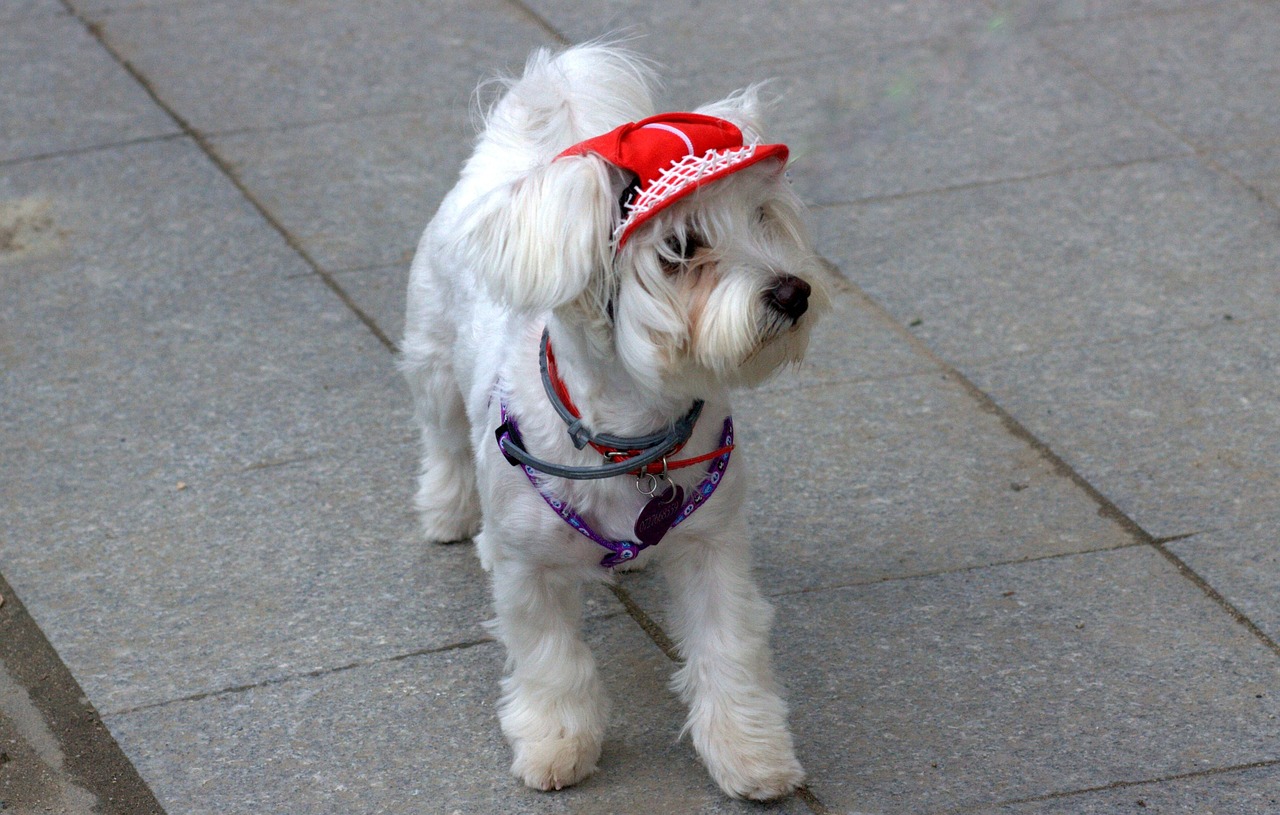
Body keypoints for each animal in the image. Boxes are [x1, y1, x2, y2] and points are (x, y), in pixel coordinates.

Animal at [399, 44, 829, 803]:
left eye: (763, 218)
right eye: (682, 247)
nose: (794, 291)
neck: (633, 435)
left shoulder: (713, 548)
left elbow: (729, 650)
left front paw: (750, 754)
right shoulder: (531, 576)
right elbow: (551, 659)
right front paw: (555, 744)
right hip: (433, 364)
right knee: (447, 445)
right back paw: (451, 514)